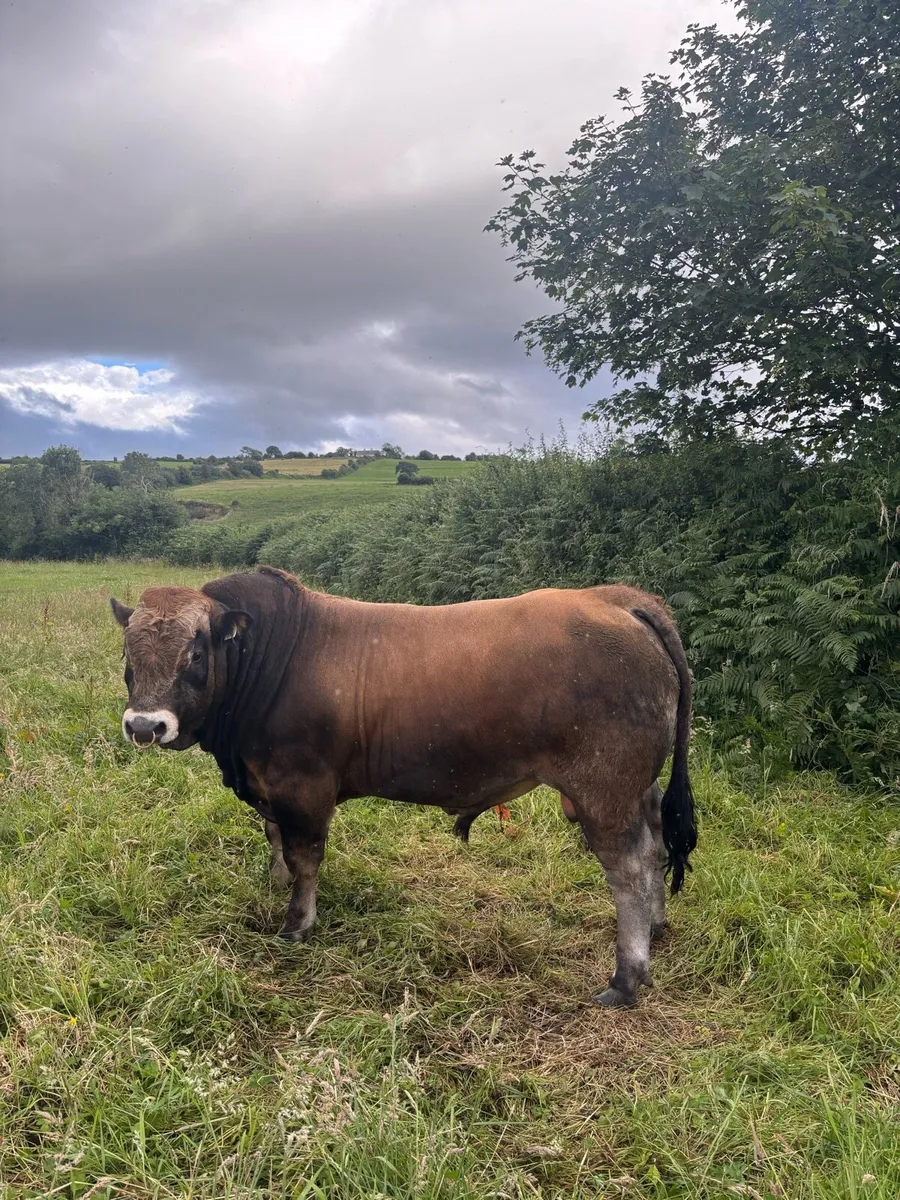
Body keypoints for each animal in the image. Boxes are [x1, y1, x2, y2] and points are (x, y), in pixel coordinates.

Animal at [110, 566, 696, 1008]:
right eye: (127, 657)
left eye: (195, 654)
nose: (145, 726)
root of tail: (616, 598)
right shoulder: (266, 783)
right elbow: (275, 840)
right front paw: (276, 885)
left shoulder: (303, 785)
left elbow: (304, 856)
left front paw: (297, 922)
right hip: (638, 787)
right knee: (657, 843)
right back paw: (657, 926)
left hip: (604, 790)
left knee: (631, 867)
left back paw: (626, 978)